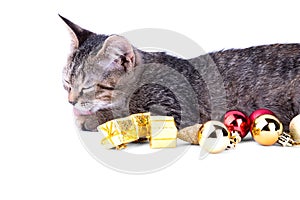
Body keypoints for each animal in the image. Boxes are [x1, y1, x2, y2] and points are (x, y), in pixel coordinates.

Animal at [59, 15, 298, 131]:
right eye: (67, 83)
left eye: (87, 87)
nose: (70, 101)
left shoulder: (174, 111)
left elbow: (129, 115)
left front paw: (93, 117)